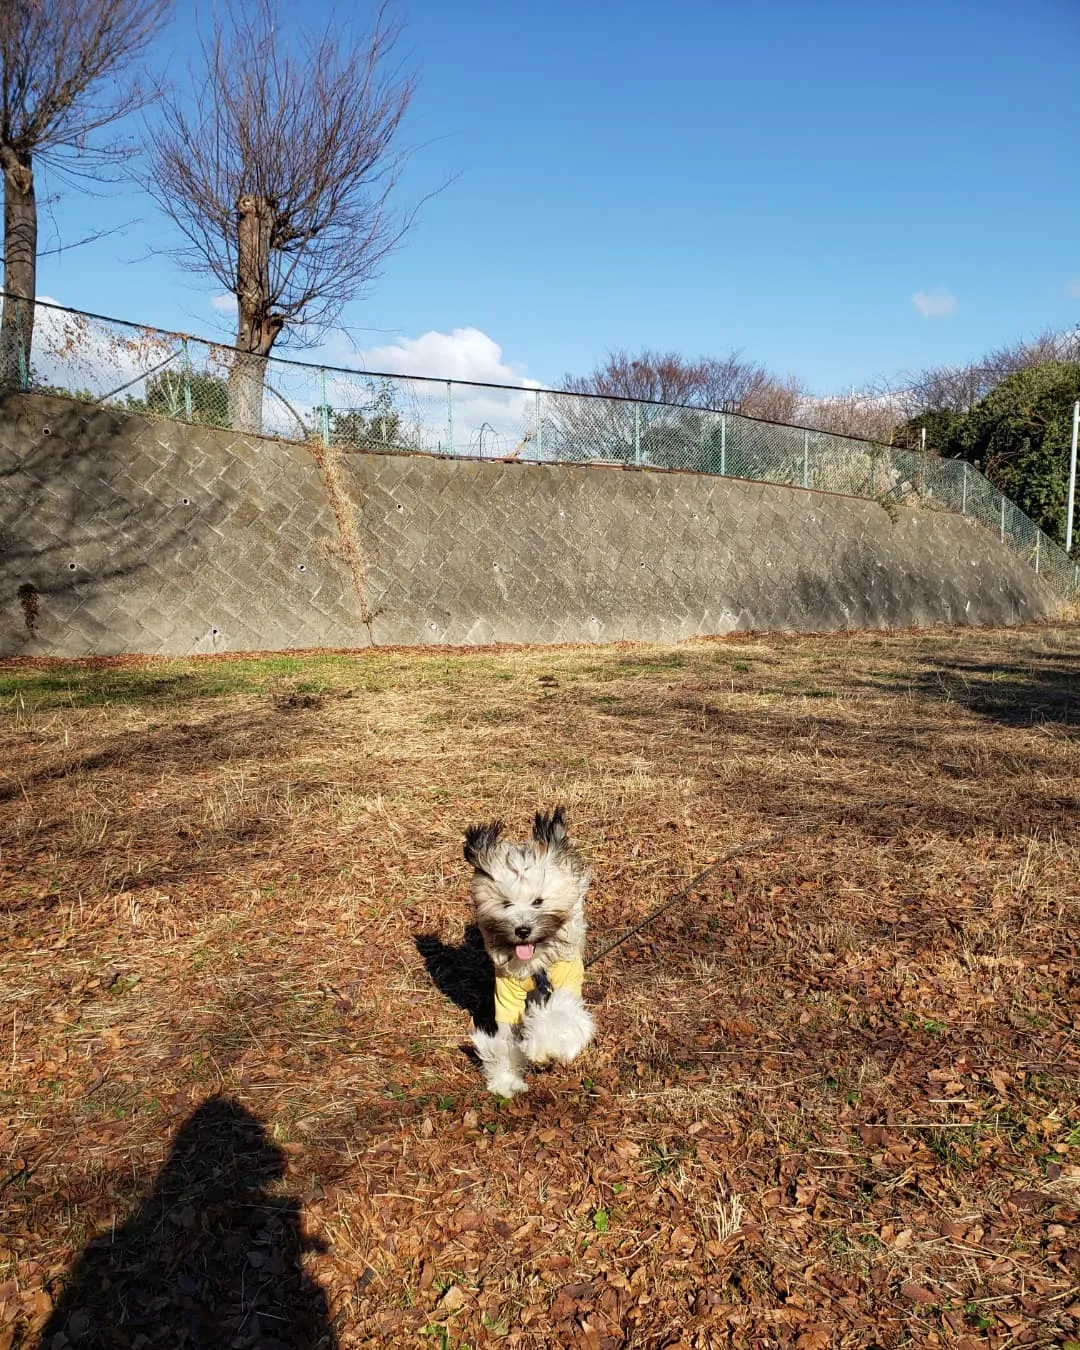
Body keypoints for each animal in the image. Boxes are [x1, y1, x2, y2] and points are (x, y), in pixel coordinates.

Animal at [467, 799, 599, 1096]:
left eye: (538, 901)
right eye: (506, 903)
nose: (522, 930)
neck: (535, 965)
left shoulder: (565, 983)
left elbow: (561, 1014)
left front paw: (541, 1048)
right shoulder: (506, 998)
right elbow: (505, 1040)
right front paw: (507, 1079)